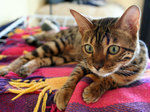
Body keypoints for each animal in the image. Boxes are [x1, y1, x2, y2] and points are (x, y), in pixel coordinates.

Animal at [0, 5, 148, 110]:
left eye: (113, 49)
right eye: (89, 48)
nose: (97, 67)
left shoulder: (129, 77)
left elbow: (110, 79)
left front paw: (93, 90)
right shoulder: (84, 63)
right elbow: (73, 76)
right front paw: (64, 93)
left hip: (61, 57)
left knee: (40, 59)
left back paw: (26, 68)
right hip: (57, 44)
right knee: (29, 54)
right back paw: (9, 67)